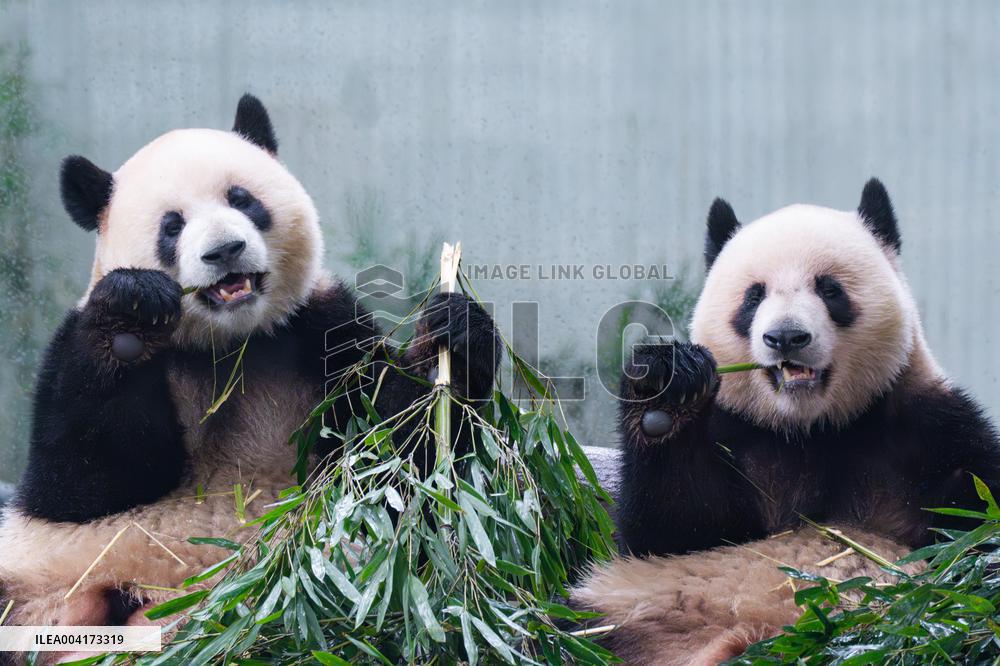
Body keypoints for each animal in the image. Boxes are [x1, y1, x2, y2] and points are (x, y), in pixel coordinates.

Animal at [0, 95, 499, 641]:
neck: (230, 344)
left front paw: (456, 340)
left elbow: (401, 452)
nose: (225, 250)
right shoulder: (79, 360)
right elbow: (80, 480)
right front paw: (132, 307)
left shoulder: (324, 332)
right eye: (172, 225)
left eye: (242, 200)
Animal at [572, 180, 1000, 664]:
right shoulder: (737, 434)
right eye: (754, 295)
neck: (811, 429)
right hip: (624, 608)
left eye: (830, 290)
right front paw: (663, 390)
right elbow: (675, 526)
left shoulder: (925, 425)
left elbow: (974, 509)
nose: (786, 337)